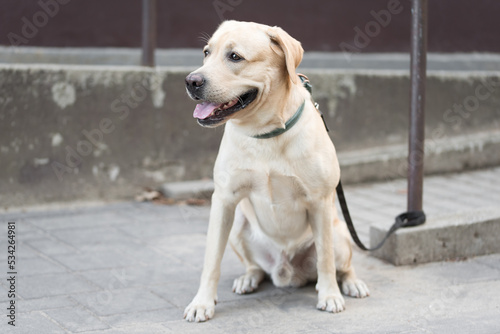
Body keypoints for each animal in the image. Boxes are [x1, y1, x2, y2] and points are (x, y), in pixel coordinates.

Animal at [184, 20, 368, 320]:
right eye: (206, 53)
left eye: (235, 56)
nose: (191, 81)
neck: (264, 132)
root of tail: (287, 272)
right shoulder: (223, 200)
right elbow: (211, 260)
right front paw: (202, 302)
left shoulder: (320, 202)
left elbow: (326, 260)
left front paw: (330, 295)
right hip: (238, 225)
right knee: (256, 266)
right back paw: (248, 278)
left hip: (339, 232)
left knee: (342, 264)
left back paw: (352, 283)